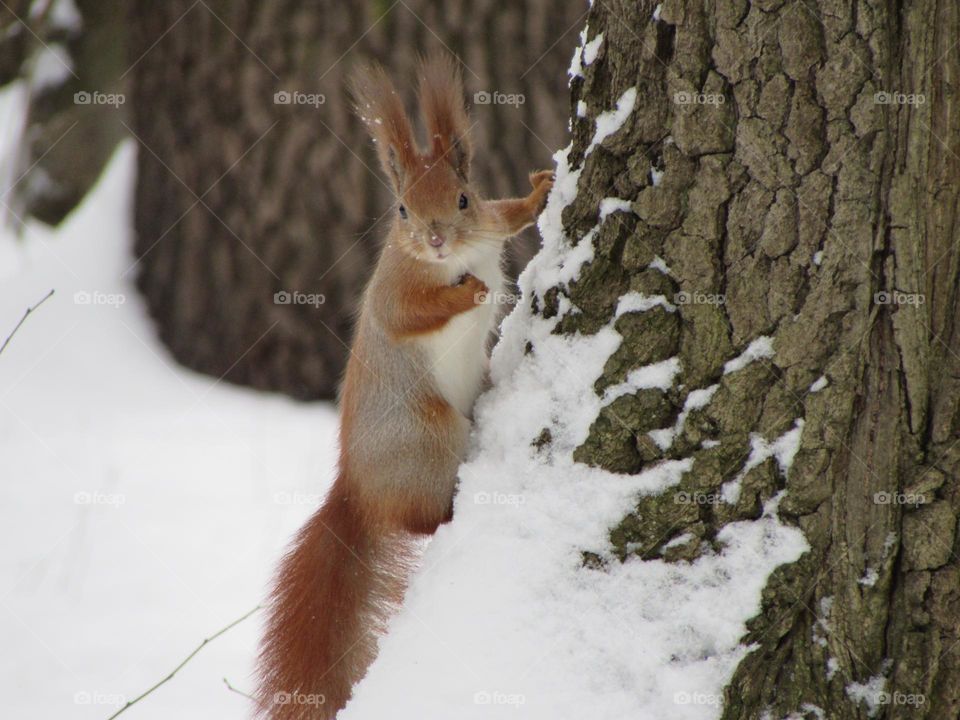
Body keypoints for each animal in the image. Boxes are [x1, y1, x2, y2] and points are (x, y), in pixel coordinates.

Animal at [255, 52, 556, 720]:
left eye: (463, 198)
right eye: (401, 210)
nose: (435, 237)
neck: (450, 259)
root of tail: (357, 490)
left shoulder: (488, 226)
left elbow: (509, 215)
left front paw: (541, 191)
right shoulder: (394, 290)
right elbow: (411, 313)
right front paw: (470, 294)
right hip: (429, 434)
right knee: (419, 522)